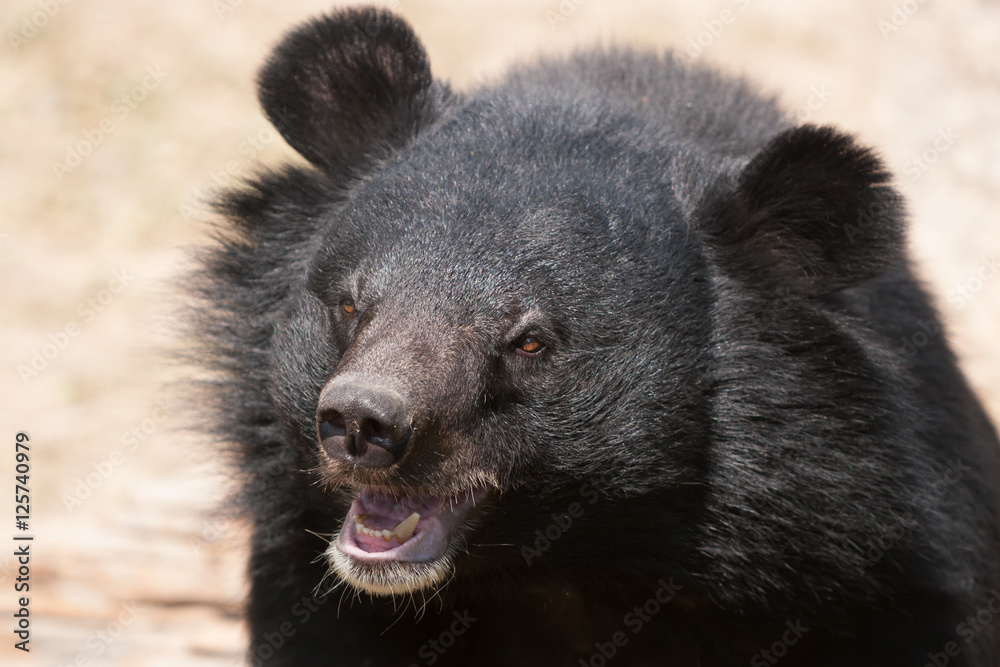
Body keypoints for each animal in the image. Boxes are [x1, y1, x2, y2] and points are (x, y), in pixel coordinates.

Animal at [186, 6, 1000, 666]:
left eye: (530, 342)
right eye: (353, 307)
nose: (361, 422)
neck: (581, 567)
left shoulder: (875, 582)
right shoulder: (314, 586)